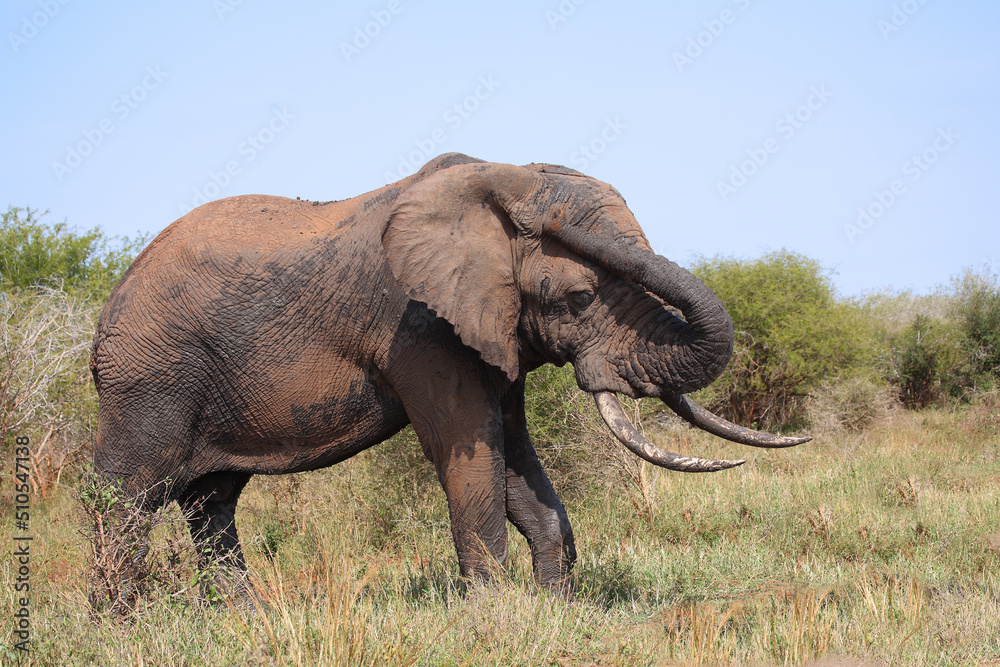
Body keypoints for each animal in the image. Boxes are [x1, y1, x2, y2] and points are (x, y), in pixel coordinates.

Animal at [89, 152, 808, 601]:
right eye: (578, 298)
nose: (551, 219)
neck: (500, 178)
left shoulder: (491, 328)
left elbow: (514, 453)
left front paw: (553, 612)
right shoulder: (419, 324)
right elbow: (468, 448)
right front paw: (489, 620)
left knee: (211, 504)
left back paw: (247, 626)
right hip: (149, 377)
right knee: (126, 499)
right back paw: (121, 631)